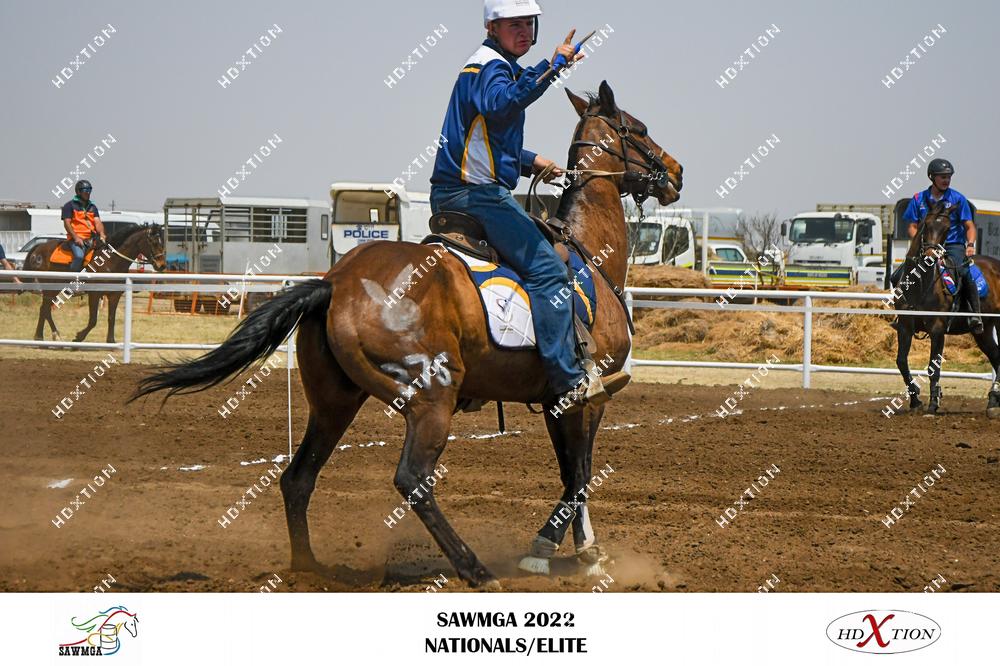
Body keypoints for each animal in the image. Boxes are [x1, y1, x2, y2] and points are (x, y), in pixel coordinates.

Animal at [24, 224, 166, 343]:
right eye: (153, 242)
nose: (162, 265)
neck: (110, 261)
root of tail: (38, 248)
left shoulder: (115, 295)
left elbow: (111, 318)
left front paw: (111, 341)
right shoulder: (94, 294)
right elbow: (93, 320)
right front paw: (78, 338)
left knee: (44, 309)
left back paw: (42, 336)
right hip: (48, 288)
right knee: (45, 309)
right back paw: (51, 335)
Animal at [132, 81, 683, 588]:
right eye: (638, 129)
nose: (676, 170)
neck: (589, 253)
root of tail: (335, 283)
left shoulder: (556, 401)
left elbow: (574, 471)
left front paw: (572, 549)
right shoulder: (585, 396)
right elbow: (580, 474)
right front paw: (562, 551)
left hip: (334, 403)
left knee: (297, 478)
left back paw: (309, 570)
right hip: (432, 400)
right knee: (412, 481)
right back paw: (475, 569)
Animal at [891, 200, 1000, 416]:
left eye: (948, 229)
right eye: (927, 224)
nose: (930, 256)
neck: (920, 283)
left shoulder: (937, 329)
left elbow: (934, 368)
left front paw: (933, 404)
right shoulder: (905, 326)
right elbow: (901, 361)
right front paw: (915, 400)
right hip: (984, 331)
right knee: (997, 356)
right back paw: (993, 401)